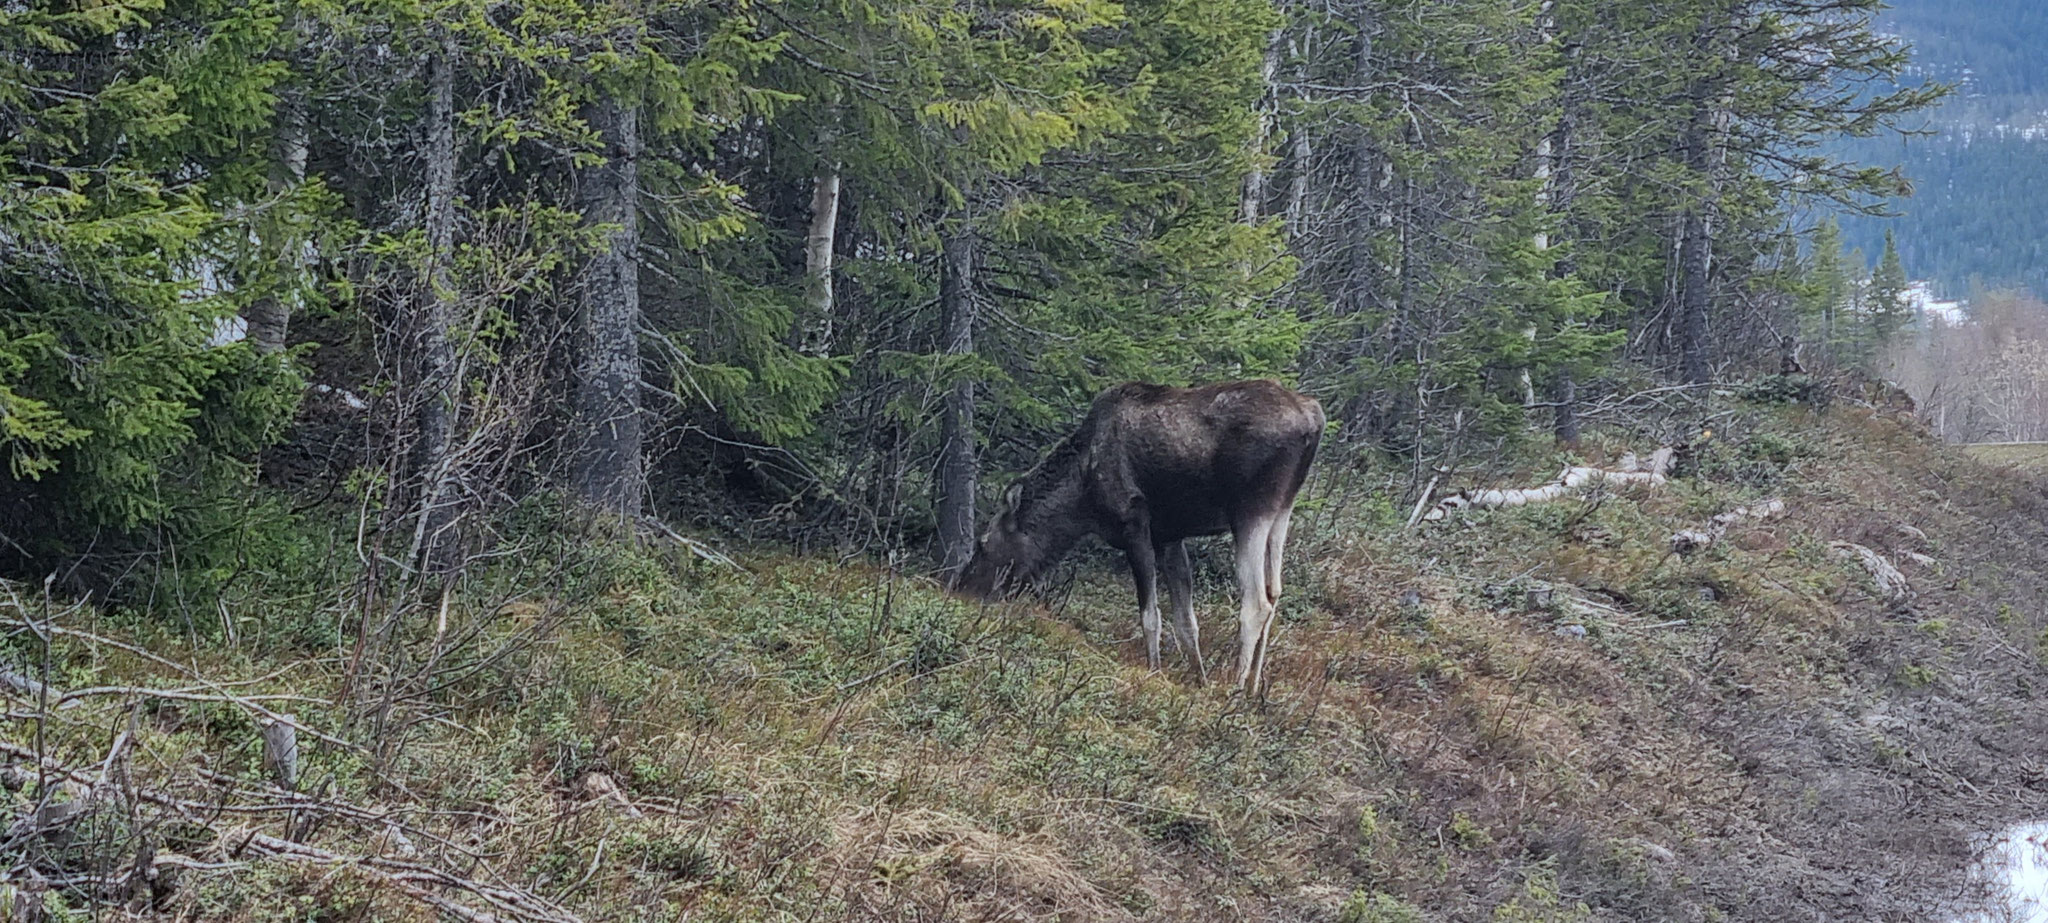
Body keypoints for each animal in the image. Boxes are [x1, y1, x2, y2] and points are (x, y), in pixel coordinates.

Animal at [946, 378, 1318, 691]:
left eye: (982, 543)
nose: (960, 586)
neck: (1082, 499)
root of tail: (1314, 419)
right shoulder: (1169, 537)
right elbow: (1186, 622)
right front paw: (1197, 680)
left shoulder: (1134, 525)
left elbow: (1150, 616)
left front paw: (1154, 671)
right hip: (1281, 511)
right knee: (1274, 592)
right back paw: (1255, 688)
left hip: (1250, 510)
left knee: (1256, 602)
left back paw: (1238, 689)